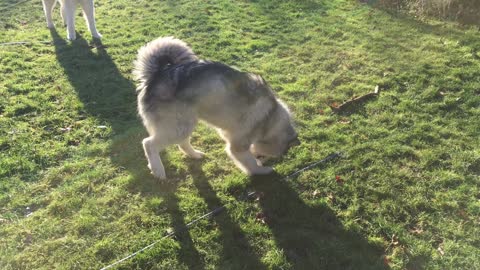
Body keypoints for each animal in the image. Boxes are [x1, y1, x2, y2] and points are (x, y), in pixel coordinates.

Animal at [134, 36, 300, 179]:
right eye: (266, 156)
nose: (261, 159)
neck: (269, 116)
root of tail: (156, 75)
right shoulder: (238, 145)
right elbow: (249, 162)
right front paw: (261, 170)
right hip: (177, 127)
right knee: (148, 144)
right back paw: (158, 170)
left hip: (184, 124)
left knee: (182, 143)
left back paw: (195, 155)